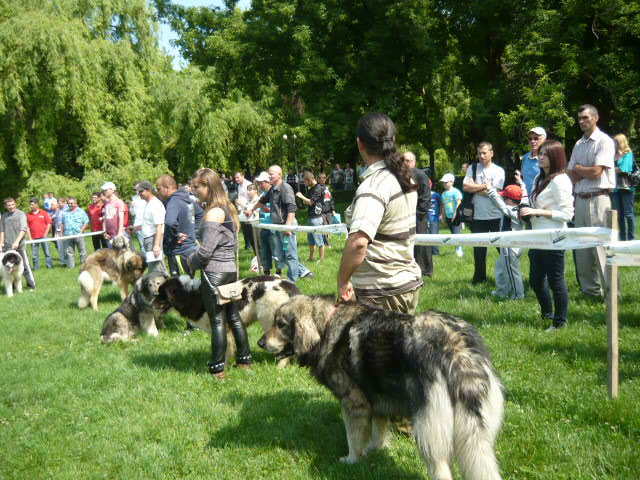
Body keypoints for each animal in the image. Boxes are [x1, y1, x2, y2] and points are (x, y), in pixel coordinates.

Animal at [159, 276, 302, 366]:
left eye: (161, 295)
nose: (153, 303)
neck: (190, 294)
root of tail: (287, 285)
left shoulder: (222, 327)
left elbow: (226, 348)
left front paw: (224, 365)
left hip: (270, 321)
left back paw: (280, 366)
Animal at [258, 294, 504, 478]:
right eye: (275, 322)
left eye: (281, 325)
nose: (260, 342)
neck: (325, 325)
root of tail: (455, 347)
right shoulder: (378, 401)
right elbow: (378, 431)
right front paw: (375, 450)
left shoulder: (353, 402)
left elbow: (353, 437)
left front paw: (352, 459)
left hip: (429, 429)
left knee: (440, 467)